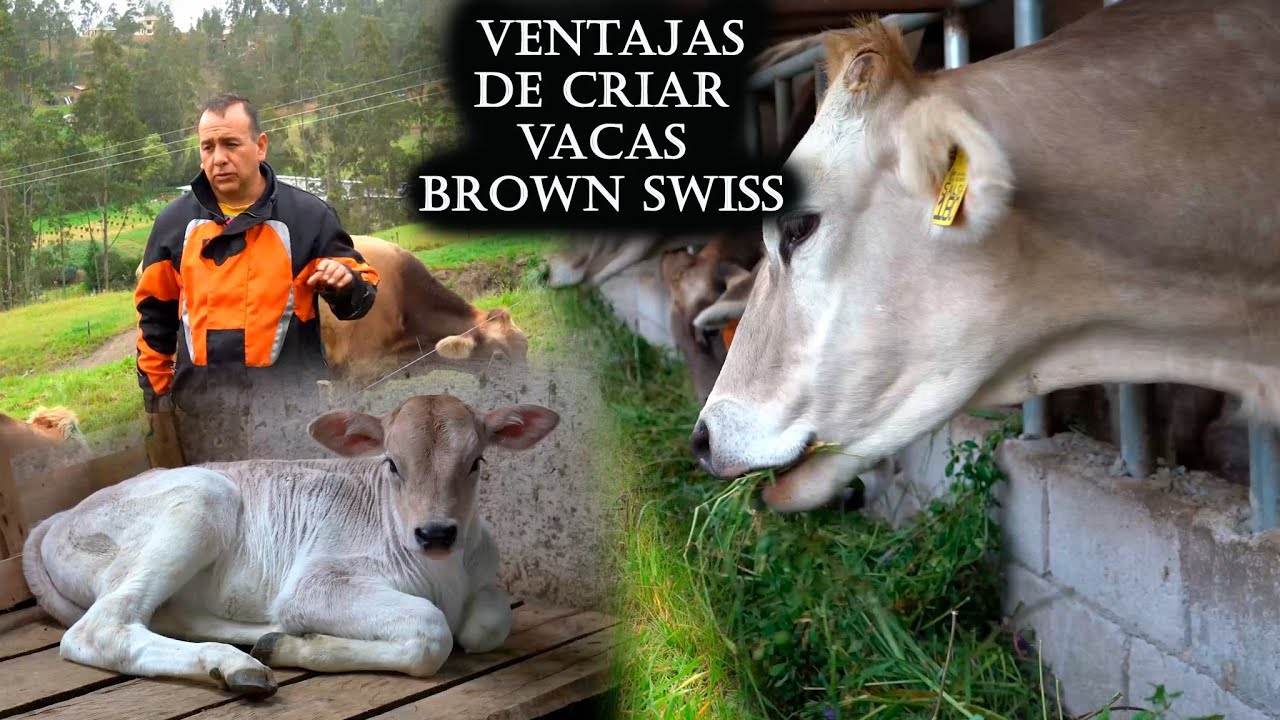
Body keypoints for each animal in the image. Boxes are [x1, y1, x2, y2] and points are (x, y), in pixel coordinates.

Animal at [22, 394, 560, 697]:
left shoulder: (483, 577)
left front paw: (295, 641)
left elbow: (487, 623)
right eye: (391, 463)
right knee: (102, 628)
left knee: (171, 615)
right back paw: (237, 665)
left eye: (476, 462)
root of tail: (57, 518)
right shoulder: (318, 581)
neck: (443, 576)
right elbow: (433, 632)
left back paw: (266, 639)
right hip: (201, 497)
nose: (435, 533)